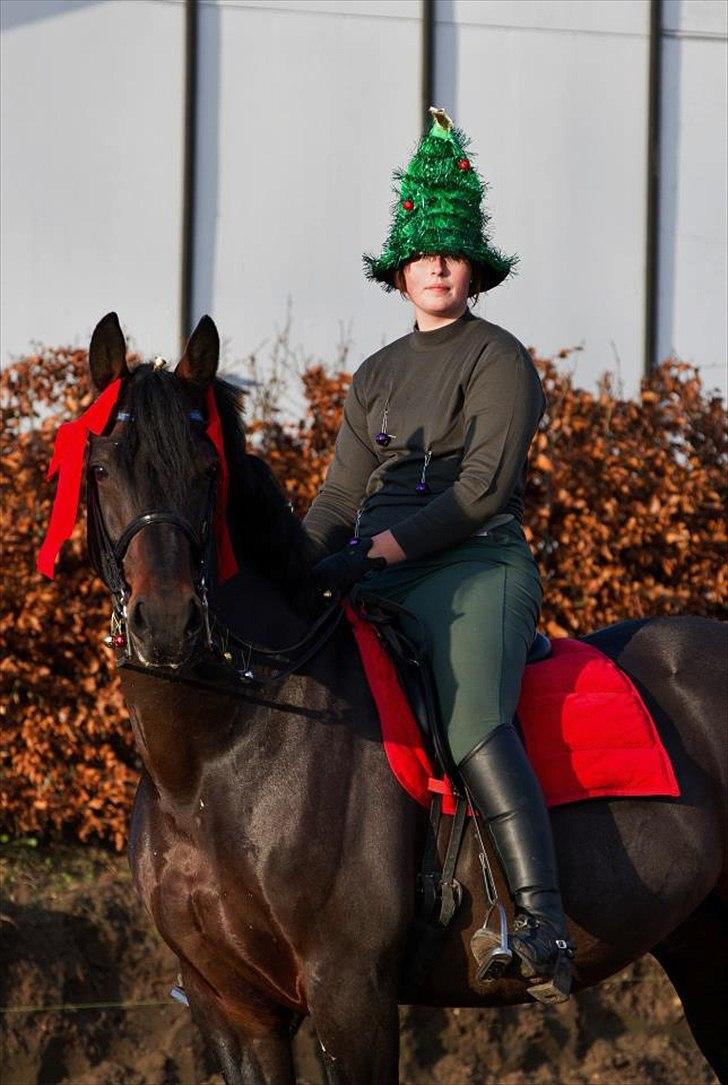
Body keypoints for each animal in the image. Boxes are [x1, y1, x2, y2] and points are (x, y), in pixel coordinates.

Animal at [77, 314, 724, 1085]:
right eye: (102, 469)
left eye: (208, 473)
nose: (169, 622)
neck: (217, 754)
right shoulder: (229, 1006)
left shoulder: (349, 990)